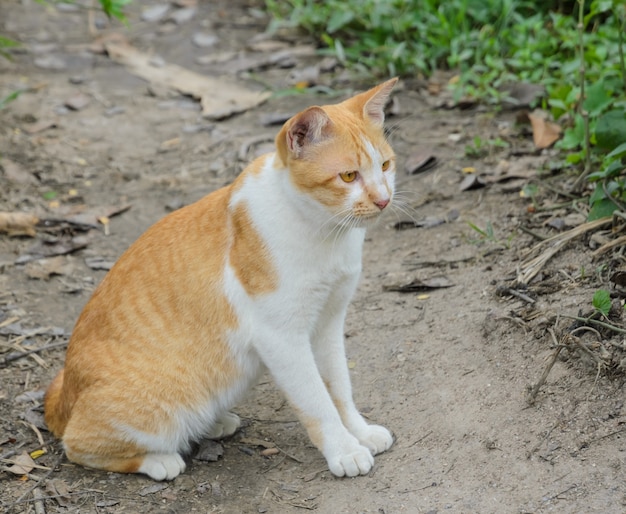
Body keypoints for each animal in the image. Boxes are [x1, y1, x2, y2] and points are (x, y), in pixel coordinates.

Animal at [45, 77, 394, 480]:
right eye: (349, 176)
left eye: (386, 166)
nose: (384, 200)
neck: (325, 233)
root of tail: (65, 391)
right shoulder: (282, 338)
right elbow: (317, 401)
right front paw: (344, 448)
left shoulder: (328, 323)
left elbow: (339, 387)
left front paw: (359, 432)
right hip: (168, 403)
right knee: (78, 444)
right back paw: (160, 459)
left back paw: (213, 424)